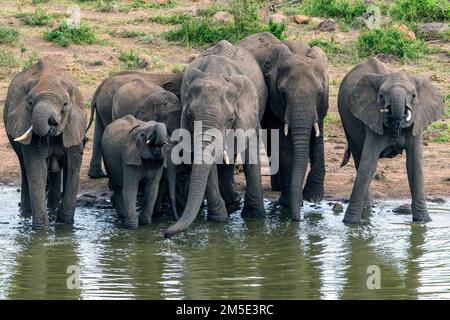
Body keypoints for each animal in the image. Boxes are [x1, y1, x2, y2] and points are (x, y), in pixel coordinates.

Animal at [164, 40, 268, 236]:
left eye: (231, 118)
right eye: (190, 115)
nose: (165, 233)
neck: (215, 75)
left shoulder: (249, 114)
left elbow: (250, 151)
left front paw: (256, 218)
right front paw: (219, 221)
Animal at [239, 33, 330, 222]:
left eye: (319, 93)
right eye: (282, 93)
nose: (297, 220)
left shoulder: (322, 104)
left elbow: (318, 138)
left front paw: (314, 197)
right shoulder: (273, 98)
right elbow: (284, 144)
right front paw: (289, 204)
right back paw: (279, 187)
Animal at [340, 56, 444, 224]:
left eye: (414, 96)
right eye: (381, 95)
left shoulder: (417, 121)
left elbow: (415, 165)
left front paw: (423, 222)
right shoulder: (372, 117)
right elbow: (368, 165)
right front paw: (350, 224)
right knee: (358, 158)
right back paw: (366, 210)